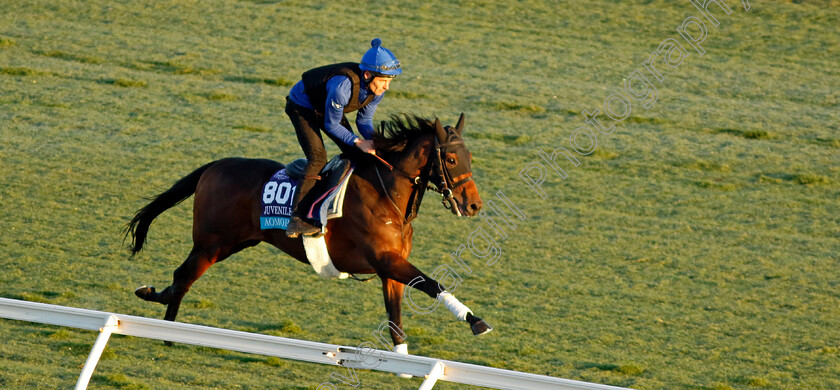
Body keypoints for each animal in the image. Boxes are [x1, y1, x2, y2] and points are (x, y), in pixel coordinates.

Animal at [125, 113, 492, 354]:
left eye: (470, 156)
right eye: (451, 158)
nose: (474, 204)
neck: (386, 194)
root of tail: (214, 165)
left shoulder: (390, 267)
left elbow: (396, 317)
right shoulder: (385, 259)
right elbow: (433, 284)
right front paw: (476, 321)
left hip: (232, 243)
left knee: (181, 279)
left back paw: (159, 309)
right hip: (211, 244)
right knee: (182, 277)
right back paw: (167, 330)